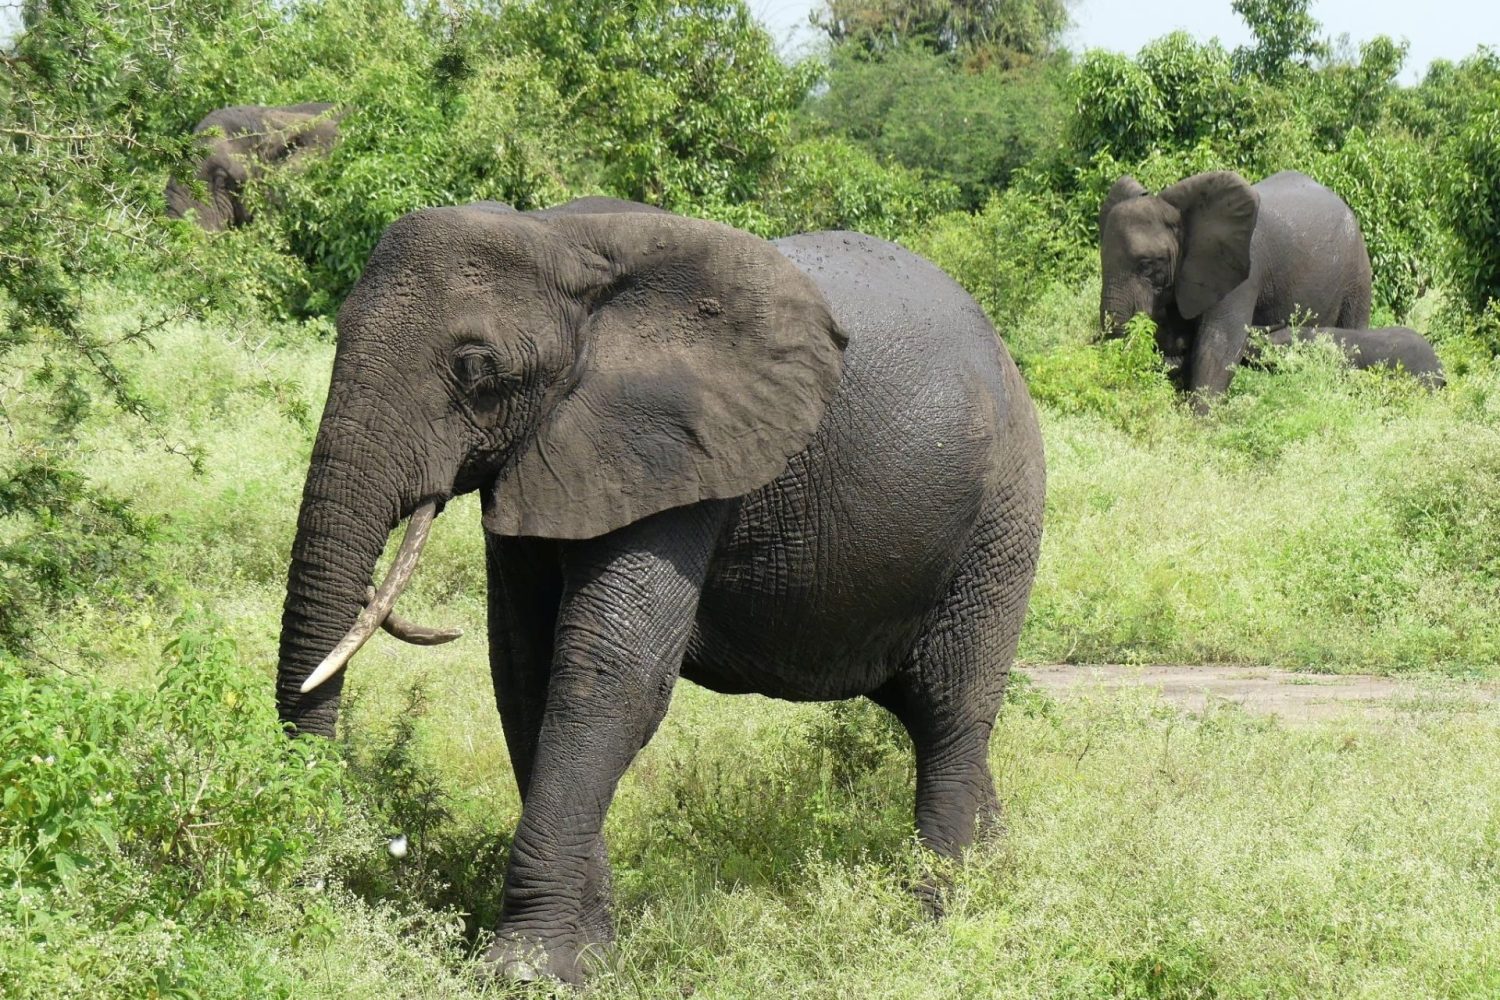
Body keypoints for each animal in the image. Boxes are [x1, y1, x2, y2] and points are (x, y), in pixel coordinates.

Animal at [274, 198, 1046, 983]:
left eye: (477, 369)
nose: (316, 880)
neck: (561, 244)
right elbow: (524, 671)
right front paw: (589, 962)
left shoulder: (676, 449)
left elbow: (609, 677)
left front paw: (524, 971)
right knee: (927, 711)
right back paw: (999, 880)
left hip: (1003, 514)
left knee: (950, 708)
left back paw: (935, 919)